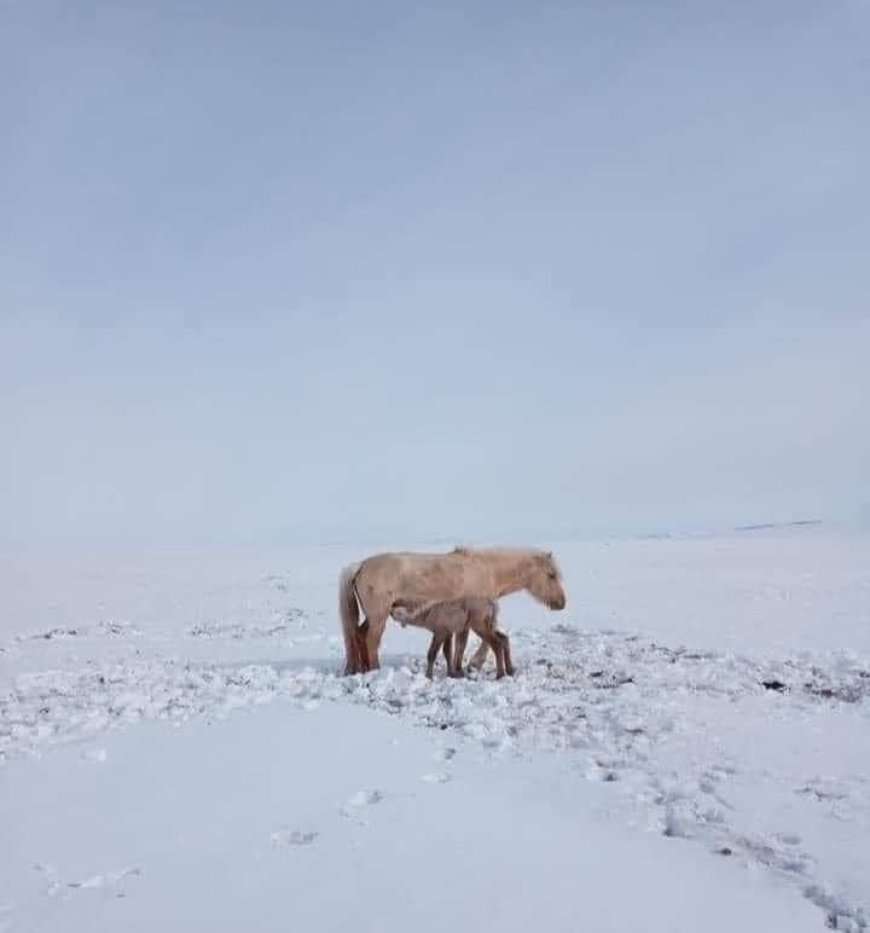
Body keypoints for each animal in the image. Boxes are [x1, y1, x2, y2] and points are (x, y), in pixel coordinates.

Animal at [338, 544, 568, 672]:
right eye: (551, 575)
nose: (562, 603)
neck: (486, 570)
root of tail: (361, 565)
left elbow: (460, 646)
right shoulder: (476, 616)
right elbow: (480, 642)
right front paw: (475, 663)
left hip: (373, 616)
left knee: (359, 634)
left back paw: (361, 668)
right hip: (379, 617)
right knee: (370, 640)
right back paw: (374, 669)